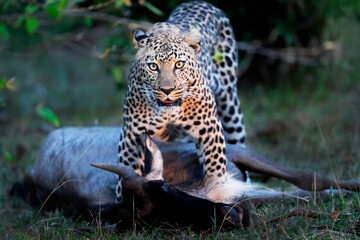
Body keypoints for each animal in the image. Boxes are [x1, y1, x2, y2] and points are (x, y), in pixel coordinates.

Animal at [116, 0, 249, 203]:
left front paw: (218, 195)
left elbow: (215, 169)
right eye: (153, 66)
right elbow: (126, 169)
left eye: (179, 64)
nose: (167, 90)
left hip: (229, 104)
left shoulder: (209, 127)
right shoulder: (132, 132)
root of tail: (200, 1)